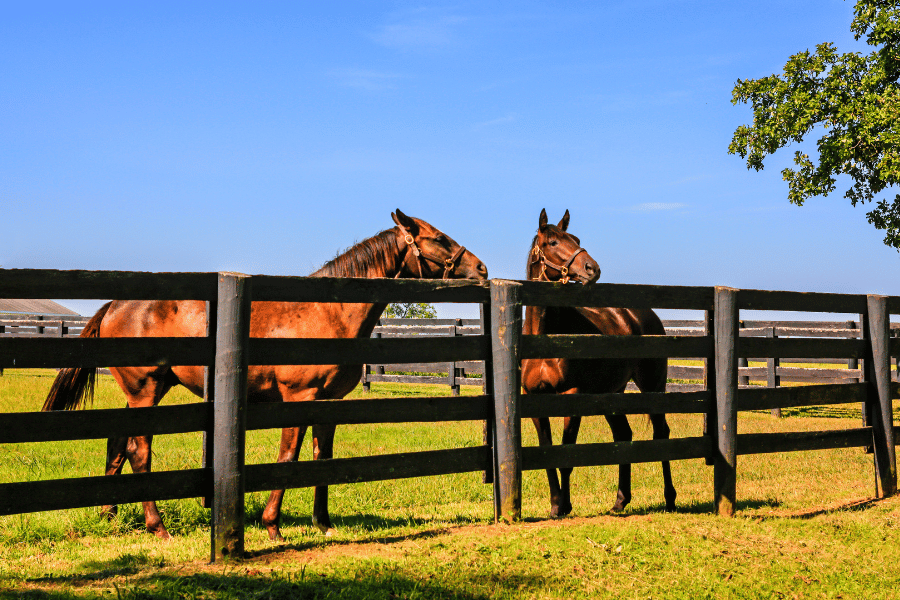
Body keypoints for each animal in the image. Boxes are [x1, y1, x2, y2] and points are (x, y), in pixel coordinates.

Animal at [42, 209, 488, 541]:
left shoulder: (329, 402)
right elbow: (288, 457)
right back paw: (158, 527)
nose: (481, 268)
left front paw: (323, 524)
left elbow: (322, 458)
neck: (327, 312)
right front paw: (273, 526)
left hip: (141, 394)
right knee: (139, 450)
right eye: (439, 238)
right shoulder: (298, 398)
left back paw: (109, 513)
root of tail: (115, 304)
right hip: (146, 391)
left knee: (117, 442)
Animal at [520, 208, 676, 518]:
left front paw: (565, 505)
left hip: (652, 386)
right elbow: (547, 453)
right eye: (553, 242)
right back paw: (620, 501)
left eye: (576, 239)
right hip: (611, 393)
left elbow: (567, 454)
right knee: (623, 434)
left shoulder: (572, 396)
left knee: (661, 433)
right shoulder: (534, 399)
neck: (545, 337)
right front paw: (555, 505)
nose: (592, 268)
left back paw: (669, 497)